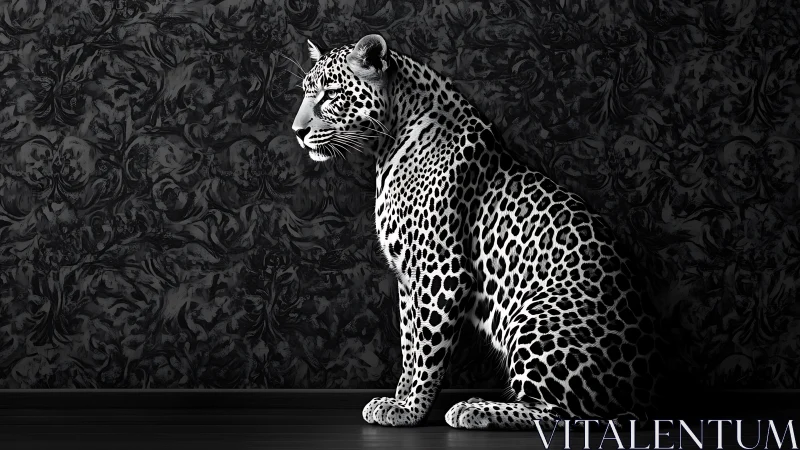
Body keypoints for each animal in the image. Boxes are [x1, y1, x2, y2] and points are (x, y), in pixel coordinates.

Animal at [290, 34, 662, 430]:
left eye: (331, 93)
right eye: (306, 91)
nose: (297, 133)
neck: (391, 138)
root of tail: (646, 392)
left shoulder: (443, 271)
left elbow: (428, 352)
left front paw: (411, 410)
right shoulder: (408, 277)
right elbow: (410, 345)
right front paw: (399, 399)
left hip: (536, 318)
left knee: (562, 415)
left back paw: (475, 409)